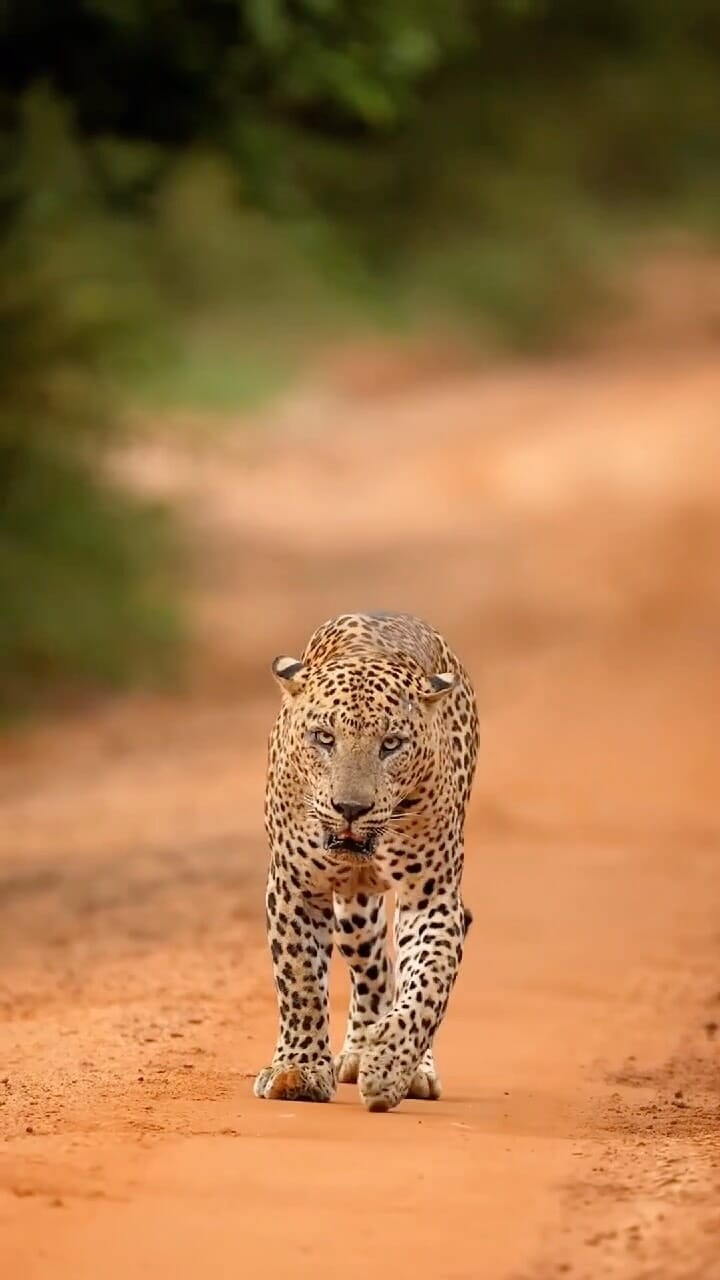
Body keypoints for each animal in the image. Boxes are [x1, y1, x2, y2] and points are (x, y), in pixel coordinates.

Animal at [253, 611, 479, 1113]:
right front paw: (298, 1071)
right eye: (323, 738)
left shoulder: (432, 898)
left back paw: (408, 1066)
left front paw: (391, 1066)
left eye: (391, 744)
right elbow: (300, 981)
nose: (350, 808)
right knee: (375, 969)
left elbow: (428, 985)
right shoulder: (296, 887)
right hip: (354, 914)